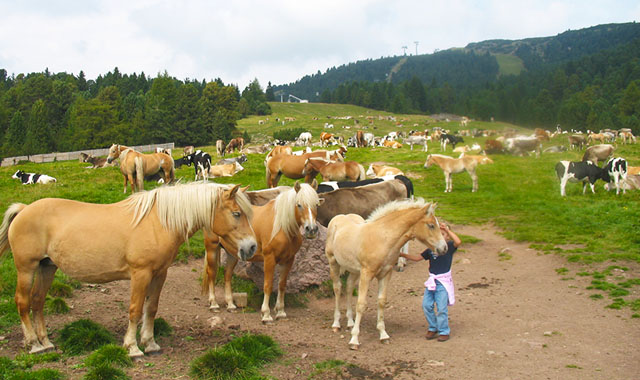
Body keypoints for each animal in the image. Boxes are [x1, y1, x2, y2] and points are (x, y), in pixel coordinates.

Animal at [2, 183, 258, 358]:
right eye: (237, 213)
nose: (251, 247)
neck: (158, 222)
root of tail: (24, 209)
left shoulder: (159, 274)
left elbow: (151, 308)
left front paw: (150, 343)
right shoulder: (140, 274)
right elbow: (135, 310)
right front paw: (132, 347)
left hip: (47, 267)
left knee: (37, 302)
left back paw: (46, 343)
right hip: (27, 269)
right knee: (23, 302)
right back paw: (34, 344)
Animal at [202, 180, 322, 320]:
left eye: (317, 204)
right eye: (299, 205)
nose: (311, 229)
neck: (282, 227)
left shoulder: (288, 260)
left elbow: (282, 285)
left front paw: (280, 312)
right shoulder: (269, 259)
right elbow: (268, 285)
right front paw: (266, 314)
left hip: (232, 253)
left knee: (227, 275)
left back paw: (230, 304)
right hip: (212, 248)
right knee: (212, 273)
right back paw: (213, 304)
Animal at [324, 199, 444, 350]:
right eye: (431, 225)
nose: (444, 248)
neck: (382, 239)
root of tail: (338, 217)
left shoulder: (385, 274)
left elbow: (381, 301)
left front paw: (383, 335)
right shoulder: (367, 274)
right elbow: (361, 304)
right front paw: (354, 340)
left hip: (354, 270)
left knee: (349, 287)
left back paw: (350, 322)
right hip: (333, 262)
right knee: (338, 288)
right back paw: (336, 324)